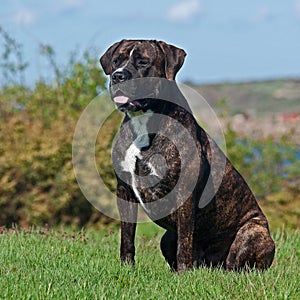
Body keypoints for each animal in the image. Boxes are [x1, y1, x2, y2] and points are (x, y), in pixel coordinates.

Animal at [99, 39, 276, 274]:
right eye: (116, 61)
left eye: (143, 62)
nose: (118, 76)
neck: (144, 122)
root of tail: (213, 265)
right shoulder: (124, 190)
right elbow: (127, 236)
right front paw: (127, 267)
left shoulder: (184, 193)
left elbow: (185, 240)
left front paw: (183, 274)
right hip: (167, 237)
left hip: (254, 231)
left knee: (237, 264)